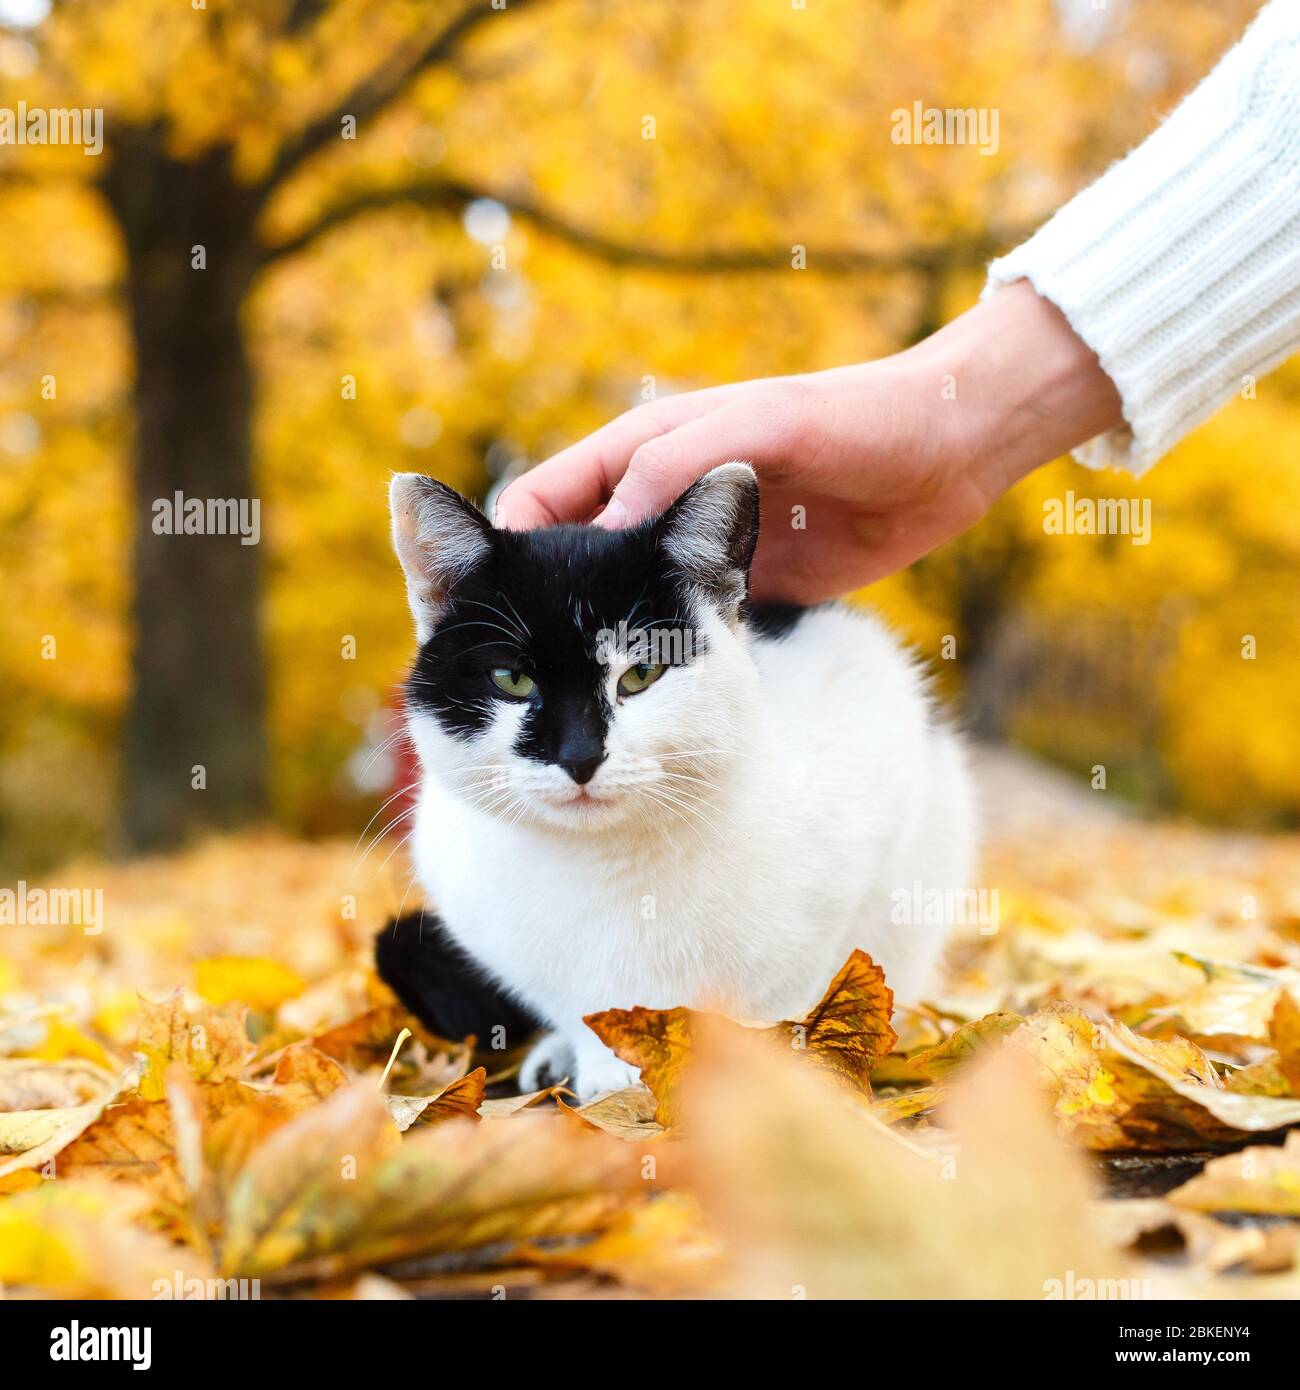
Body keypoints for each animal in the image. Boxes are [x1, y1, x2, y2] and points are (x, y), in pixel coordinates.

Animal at [375, 464, 978, 1095]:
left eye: (642, 672)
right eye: (512, 681)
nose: (580, 756)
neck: (604, 863)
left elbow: (791, 998)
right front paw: (604, 1071)